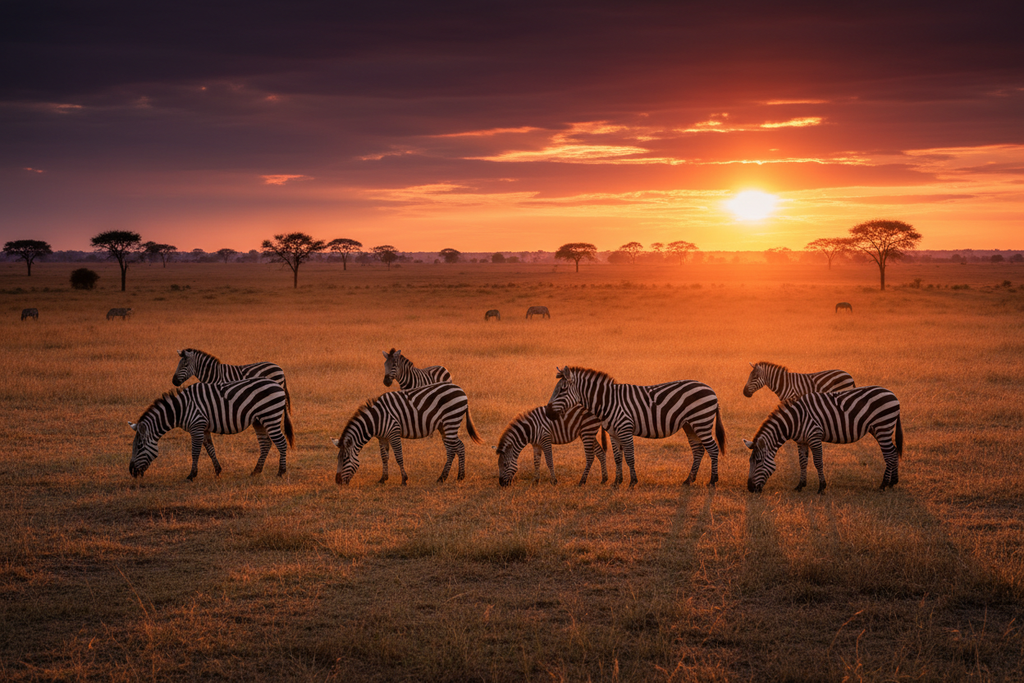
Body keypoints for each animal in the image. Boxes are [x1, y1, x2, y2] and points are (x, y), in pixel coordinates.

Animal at [128, 378, 294, 481]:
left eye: (139, 446)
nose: (131, 472)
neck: (181, 409)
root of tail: (278, 385)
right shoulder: (204, 428)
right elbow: (209, 449)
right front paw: (218, 470)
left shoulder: (196, 426)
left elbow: (195, 451)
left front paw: (191, 475)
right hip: (259, 421)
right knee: (266, 444)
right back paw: (256, 471)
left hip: (270, 416)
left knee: (281, 442)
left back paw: (281, 472)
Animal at [332, 382, 482, 485]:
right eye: (338, 459)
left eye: (345, 459)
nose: (337, 482)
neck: (375, 419)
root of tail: (461, 390)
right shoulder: (382, 437)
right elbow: (384, 457)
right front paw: (383, 479)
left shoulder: (393, 432)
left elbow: (399, 456)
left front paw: (404, 479)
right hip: (443, 426)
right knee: (455, 448)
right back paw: (451, 477)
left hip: (451, 421)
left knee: (455, 448)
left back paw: (451, 477)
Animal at [545, 366, 726, 488]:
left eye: (562, 390)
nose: (547, 412)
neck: (608, 401)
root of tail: (712, 390)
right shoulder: (613, 433)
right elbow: (618, 458)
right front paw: (617, 482)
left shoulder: (625, 429)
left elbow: (630, 457)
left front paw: (632, 482)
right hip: (690, 425)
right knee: (698, 450)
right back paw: (689, 480)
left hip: (701, 421)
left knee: (712, 449)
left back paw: (712, 481)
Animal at [744, 386, 903, 493]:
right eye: (750, 462)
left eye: (759, 461)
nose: (750, 488)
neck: (794, 420)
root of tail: (892, 394)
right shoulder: (801, 441)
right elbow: (802, 463)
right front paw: (800, 485)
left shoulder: (815, 437)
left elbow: (818, 462)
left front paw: (821, 487)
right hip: (878, 429)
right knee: (894, 451)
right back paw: (893, 482)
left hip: (882, 427)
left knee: (889, 454)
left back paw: (883, 485)